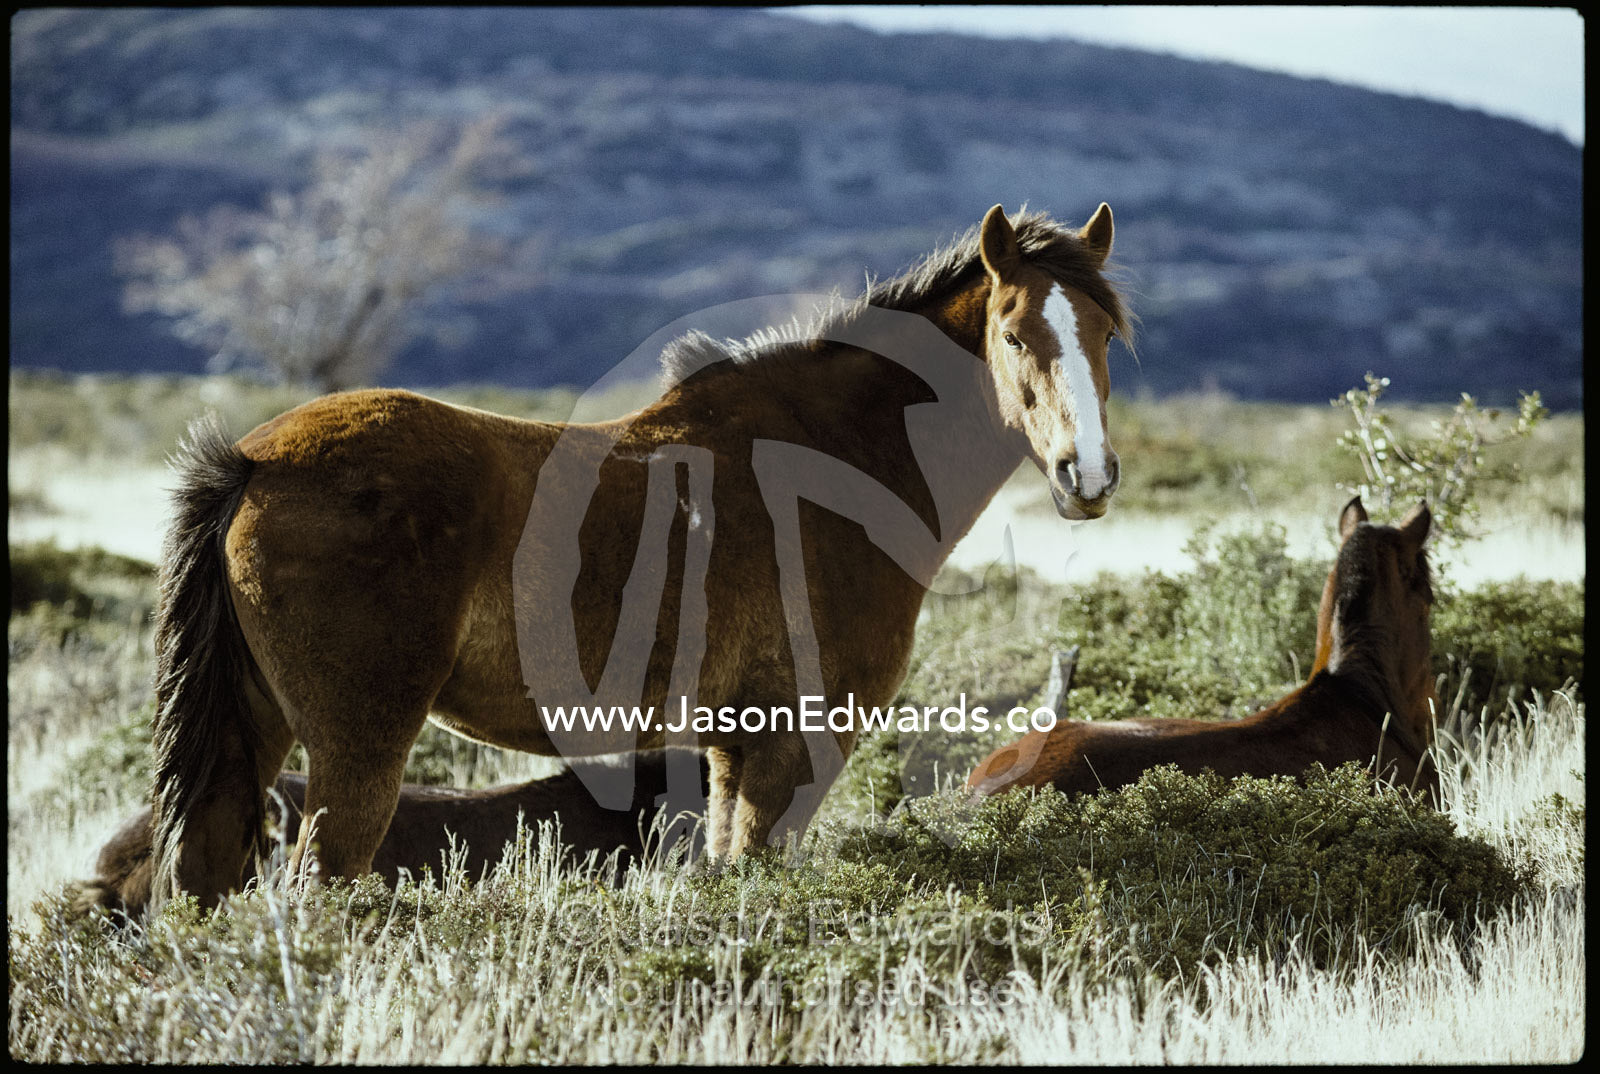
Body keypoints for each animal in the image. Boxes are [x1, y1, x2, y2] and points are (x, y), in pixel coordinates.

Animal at [150, 202, 1135, 909]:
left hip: (254, 735)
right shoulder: (796, 746)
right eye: (1014, 333)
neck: (840, 458)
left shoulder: (738, 745)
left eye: (1106, 337)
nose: (1086, 476)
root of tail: (254, 462)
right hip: (357, 750)